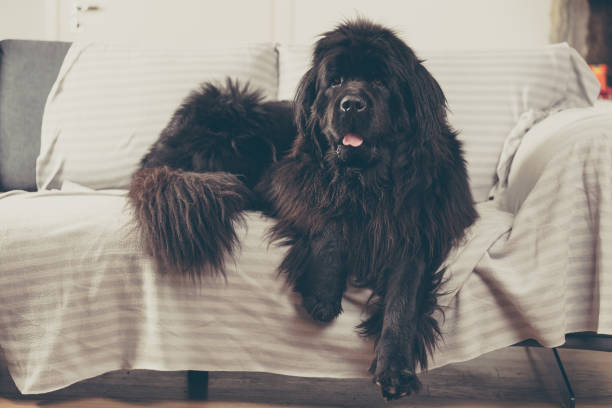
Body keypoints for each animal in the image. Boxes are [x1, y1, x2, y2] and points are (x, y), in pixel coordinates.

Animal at [129, 20, 478, 400]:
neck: (366, 183)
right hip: (232, 114)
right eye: (335, 81)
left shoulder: (417, 226)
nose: (351, 105)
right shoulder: (286, 182)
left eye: (380, 82)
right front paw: (322, 293)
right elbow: (327, 218)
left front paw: (395, 369)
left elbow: (404, 297)